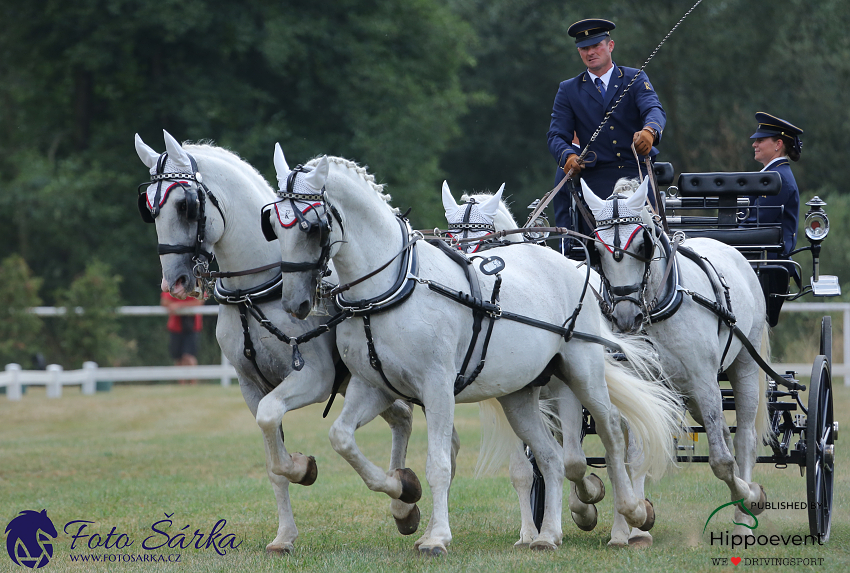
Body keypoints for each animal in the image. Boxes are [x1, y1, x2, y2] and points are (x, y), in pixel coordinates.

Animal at [133, 132, 420, 552]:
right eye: (150, 208)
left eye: (185, 205)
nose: (176, 283)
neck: (254, 290)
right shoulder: (251, 386)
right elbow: (272, 457)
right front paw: (284, 535)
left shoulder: (313, 378)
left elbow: (274, 426)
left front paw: (303, 467)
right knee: (402, 416)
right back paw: (403, 504)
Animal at [266, 147, 684, 556]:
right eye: (272, 223)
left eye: (310, 227)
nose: (295, 302)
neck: (392, 286)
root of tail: (570, 264)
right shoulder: (374, 387)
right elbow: (341, 438)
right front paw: (403, 489)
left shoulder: (437, 387)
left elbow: (439, 464)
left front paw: (436, 537)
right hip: (519, 393)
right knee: (549, 455)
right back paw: (548, 535)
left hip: (581, 371)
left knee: (611, 432)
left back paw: (630, 516)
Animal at [584, 178, 768, 544]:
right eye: (596, 250)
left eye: (643, 244)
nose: (625, 317)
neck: (656, 308)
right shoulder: (643, 386)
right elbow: (636, 454)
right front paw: (636, 521)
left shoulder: (704, 381)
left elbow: (721, 462)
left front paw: (749, 495)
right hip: (687, 393)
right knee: (724, 434)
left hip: (742, 366)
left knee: (743, 441)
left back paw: (744, 514)